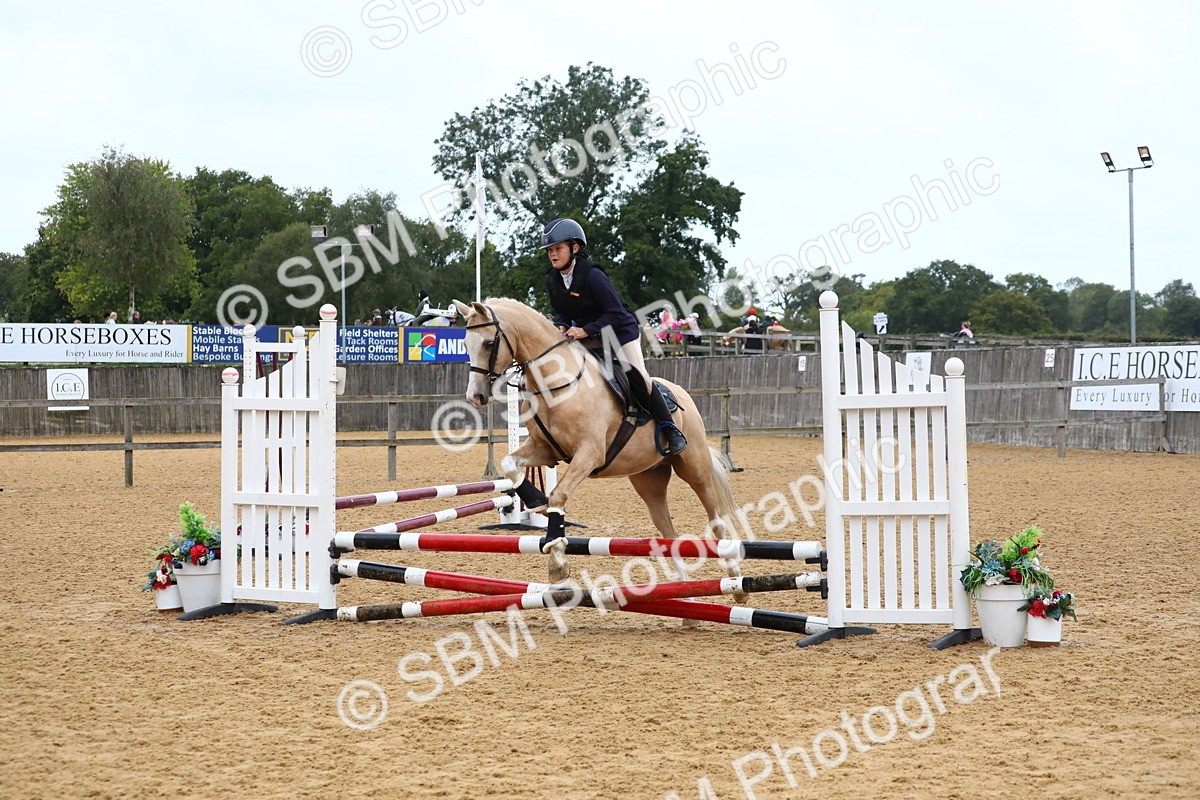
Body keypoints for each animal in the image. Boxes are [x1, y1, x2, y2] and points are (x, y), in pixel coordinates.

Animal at [453, 298, 745, 588]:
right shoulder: (545, 449)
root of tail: (682, 393)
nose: (475, 396)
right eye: (465, 345)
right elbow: (509, 464)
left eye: (488, 343)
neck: (555, 382)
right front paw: (536, 499)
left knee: (716, 520)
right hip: (648, 479)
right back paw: (685, 595)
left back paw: (734, 581)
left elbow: (558, 494)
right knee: (668, 531)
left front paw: (557, 563)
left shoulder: (589, 454)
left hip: (693, 468)